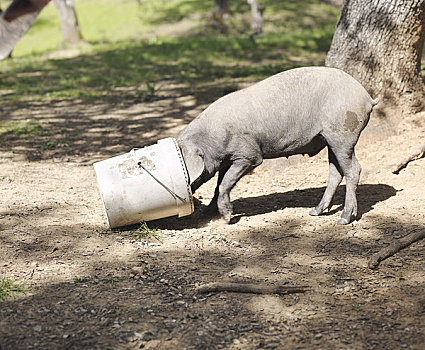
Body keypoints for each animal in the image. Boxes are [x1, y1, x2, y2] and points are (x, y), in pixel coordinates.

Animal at [176, 67, 378, 226]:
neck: (210, 139)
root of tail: (367, 97)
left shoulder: (249, 155)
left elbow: (226, 182)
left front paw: (227, 218)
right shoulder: (227, 160)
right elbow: (219, 184)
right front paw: (207, 213)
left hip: (343, 135)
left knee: (353, 170)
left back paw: (343, 219)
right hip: (329, 139)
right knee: (335, 172)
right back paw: (315, 211)